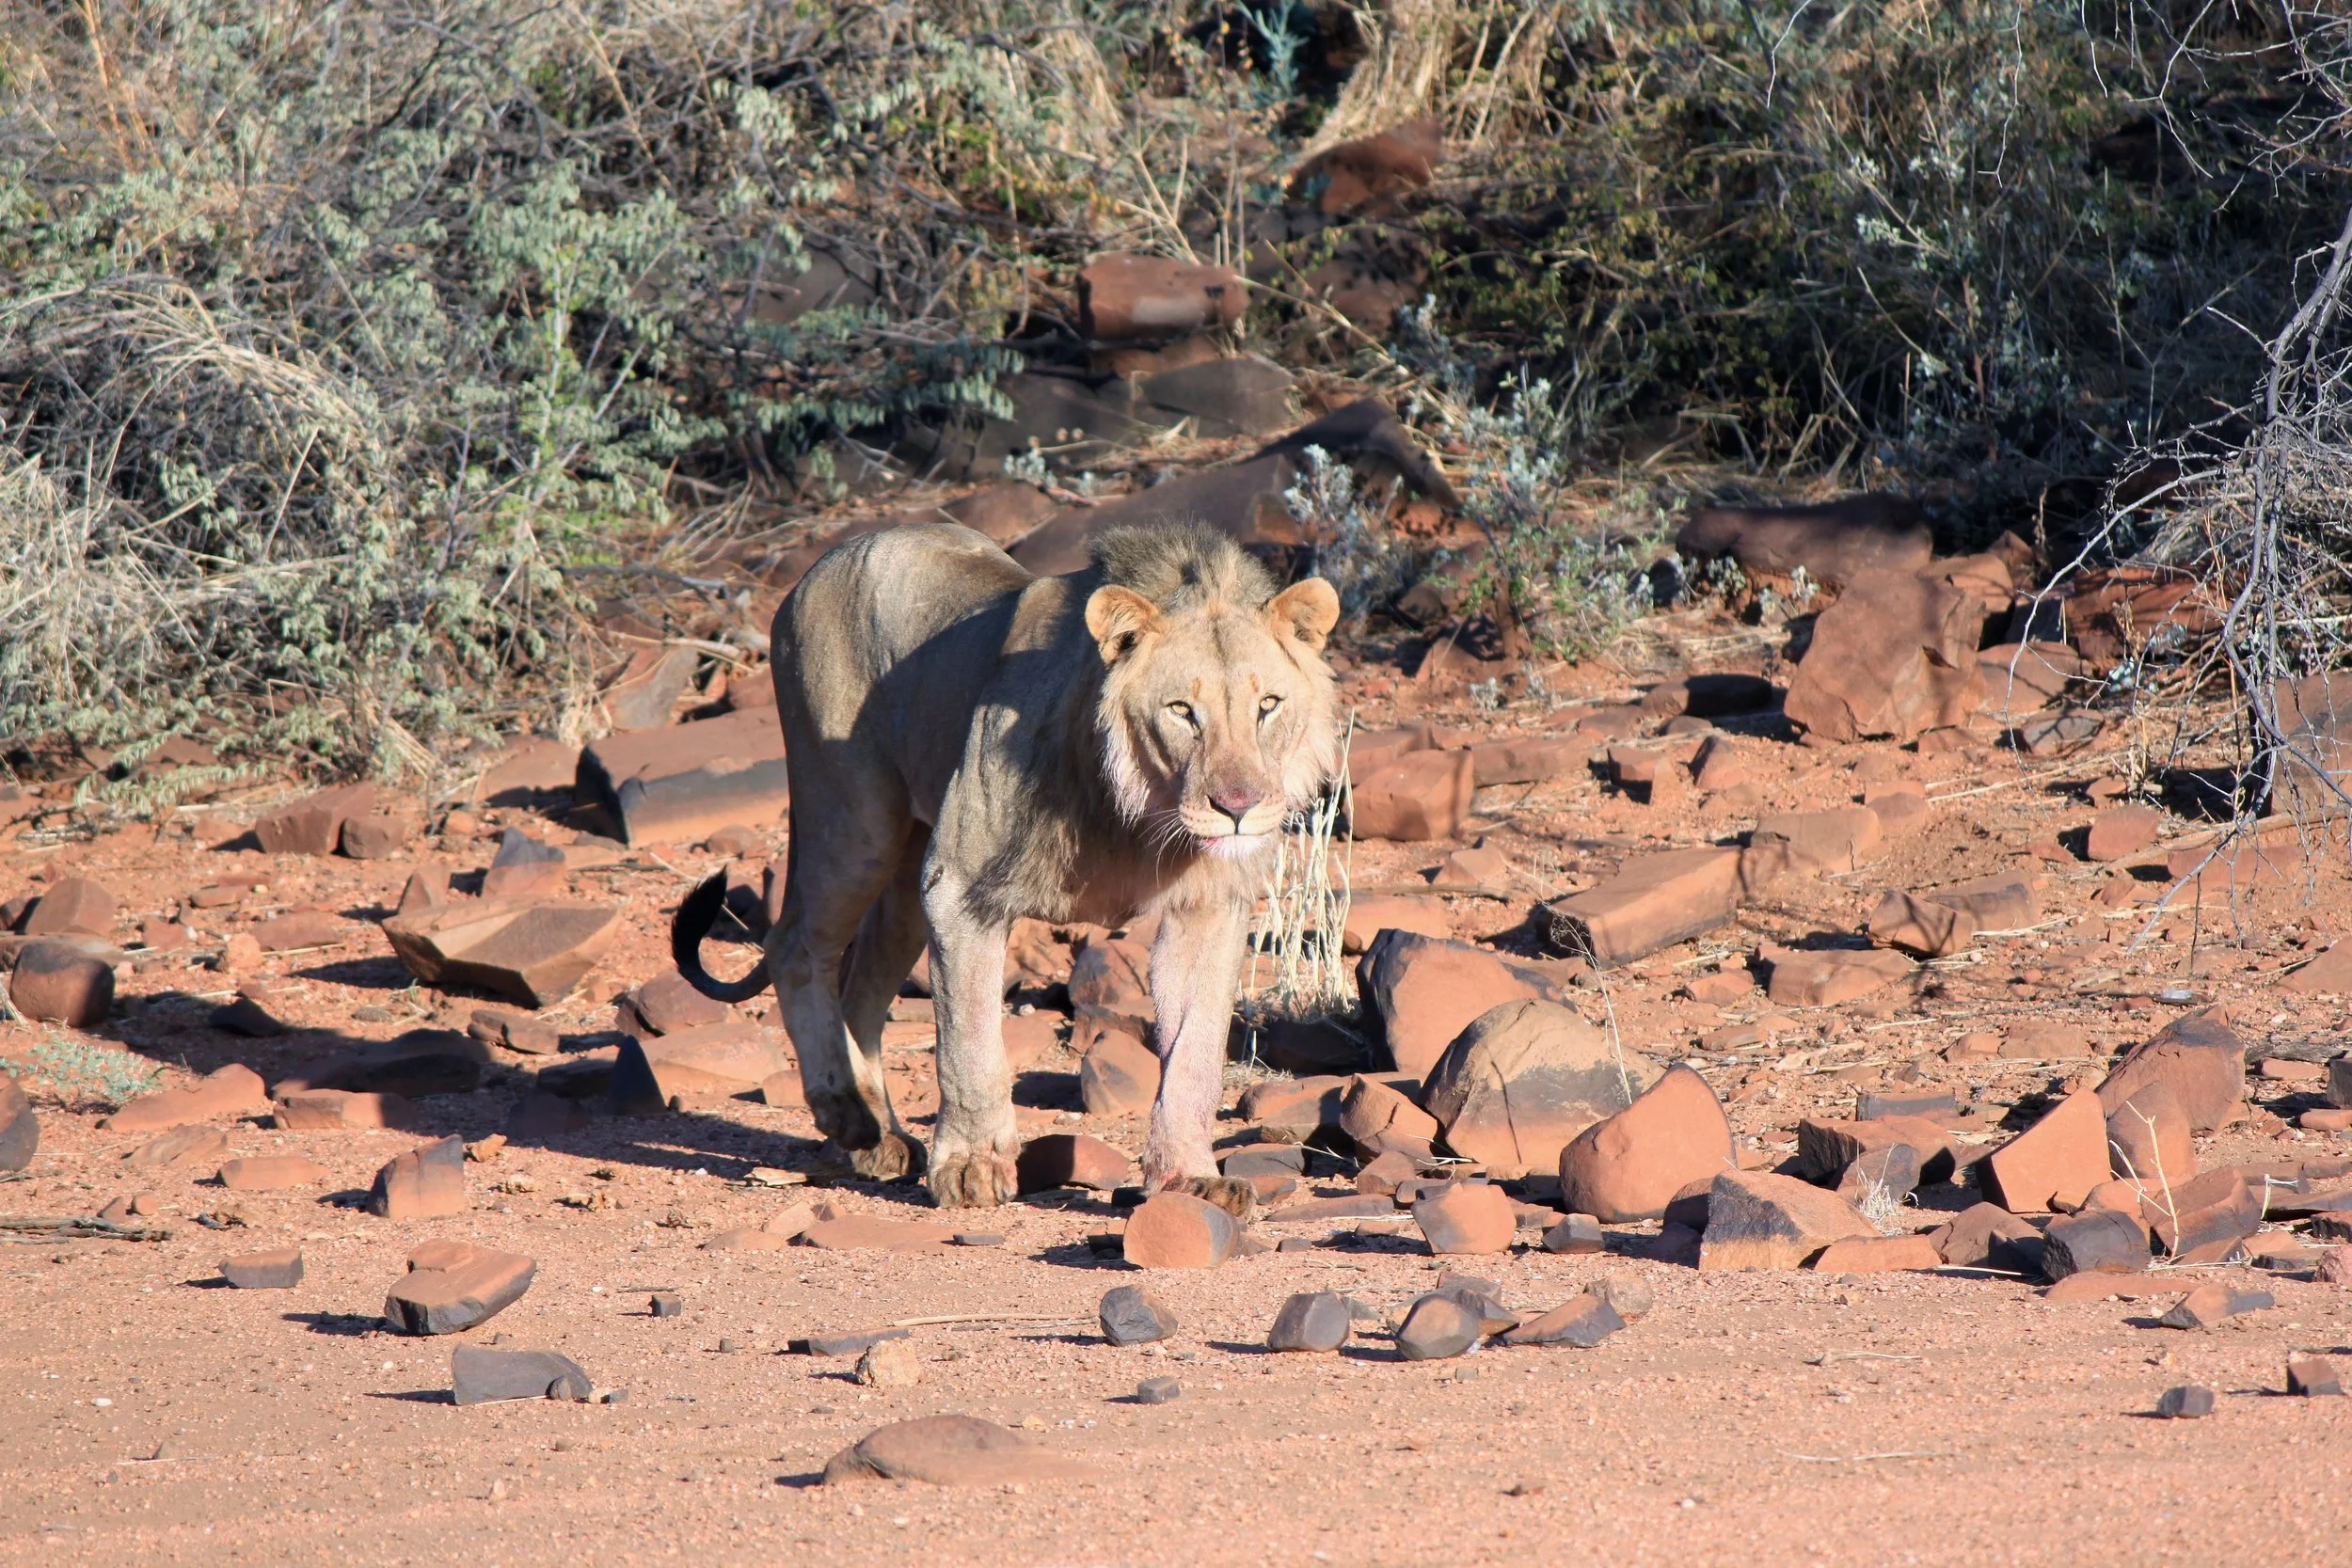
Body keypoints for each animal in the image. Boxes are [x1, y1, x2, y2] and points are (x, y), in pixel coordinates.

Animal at [671, 520, 1342, 1208]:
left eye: (1268, 705)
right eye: (1183, 710)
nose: (1238, 807)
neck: (1137, 815)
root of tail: (827, 559)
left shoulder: (1205, 909)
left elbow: (1195, 1051)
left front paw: (1190, 1178)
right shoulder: (957, 887)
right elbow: (969, 1039)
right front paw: (970, 1166)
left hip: (904, 881)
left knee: (861, 992)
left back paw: (876, 1141)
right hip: (854, 819)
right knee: (796, 945)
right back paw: (847, 1114)